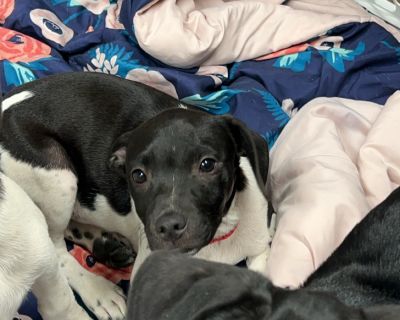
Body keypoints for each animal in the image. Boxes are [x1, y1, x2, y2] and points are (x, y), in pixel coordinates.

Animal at [0, 71, 272, 318]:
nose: (168, 226)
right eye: (138, 175)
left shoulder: (260, 249)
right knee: (55, 248)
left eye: (207, 164)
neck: (217, 241)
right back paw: (99, 290)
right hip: (57, 177)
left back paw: (106, 245)